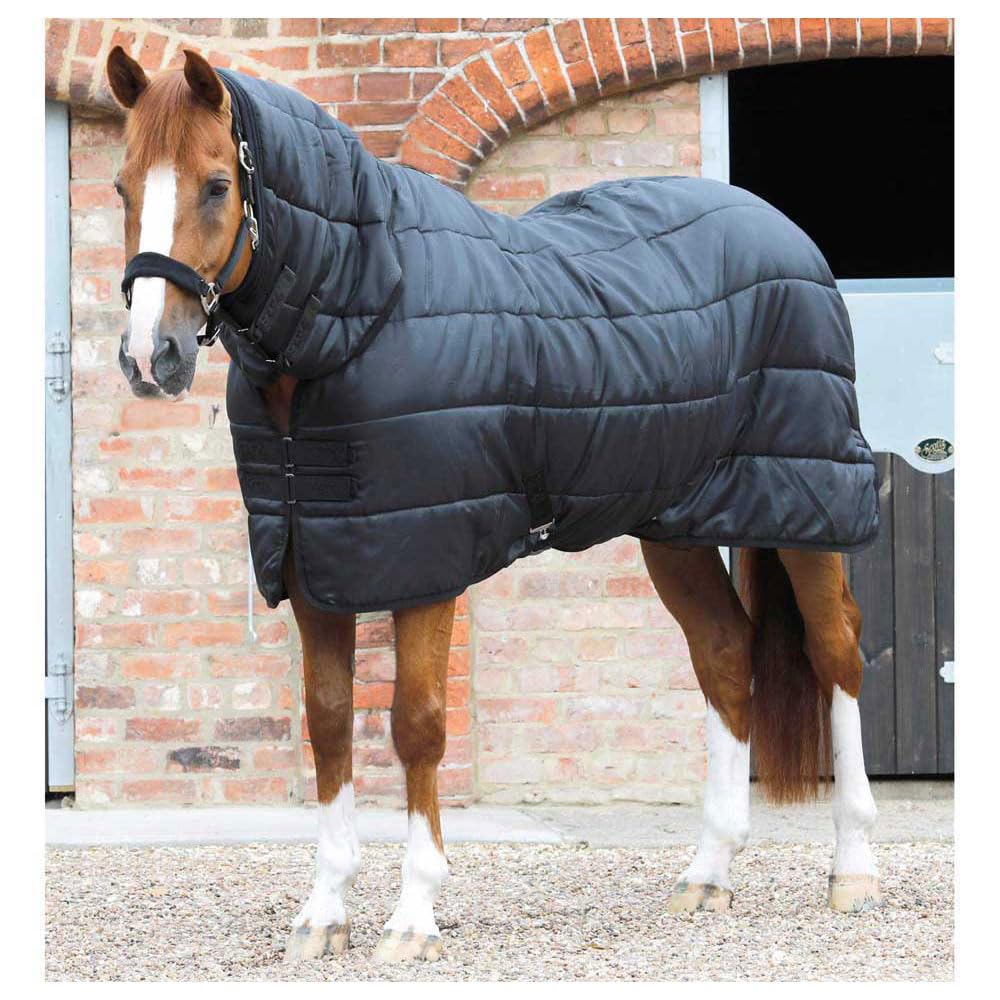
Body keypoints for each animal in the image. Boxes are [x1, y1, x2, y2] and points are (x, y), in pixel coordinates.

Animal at [105, 46, 882, 964]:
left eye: (218, 184)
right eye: (121, 186)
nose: (150, 357)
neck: (362, 310)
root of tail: (783, 232)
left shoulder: (427, 564)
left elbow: (416, 724)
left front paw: (413, 917)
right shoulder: (311, 562)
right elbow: (329, 723)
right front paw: (324, 914)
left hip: (808, 502)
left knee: (837, 655)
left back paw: (854, 870)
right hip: (675, 525)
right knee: (727, 655)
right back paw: (707, 873)